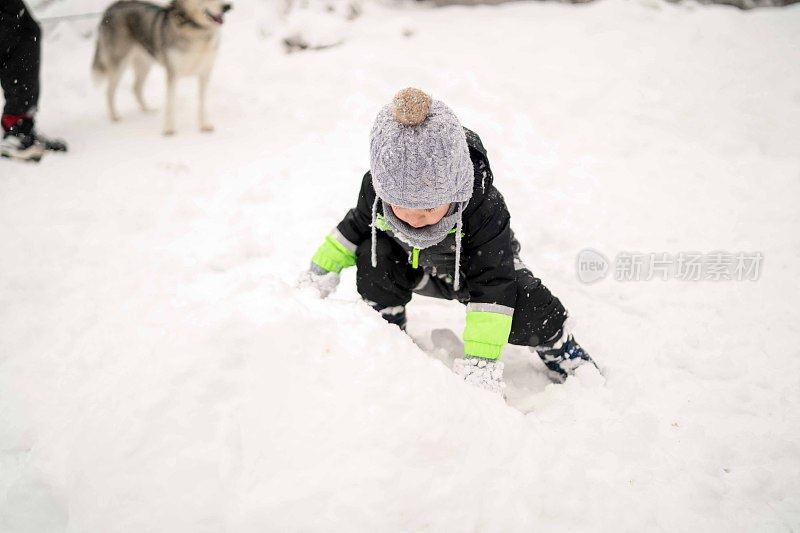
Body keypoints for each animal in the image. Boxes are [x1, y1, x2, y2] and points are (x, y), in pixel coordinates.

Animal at [94, 0, 233, 134]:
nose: (227, 7)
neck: (196, 29)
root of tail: (111, 7)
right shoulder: (173, 73)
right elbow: (170, 104)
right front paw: (169, 129)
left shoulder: (205, 72)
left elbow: (202, 103)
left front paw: (204, 125)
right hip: (119, 64)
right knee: (109, 91)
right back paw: (114, 116)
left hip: (144, 64)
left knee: (136, 88)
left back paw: (147, 109)